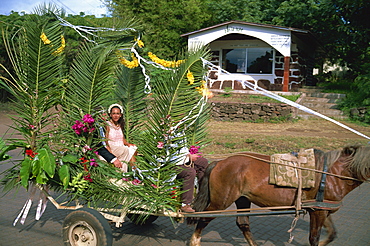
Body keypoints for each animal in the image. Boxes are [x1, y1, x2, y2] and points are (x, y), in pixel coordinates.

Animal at [189, 145, 368, 246]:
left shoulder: (322, 209)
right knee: (203, 217)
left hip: (242, 199)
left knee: (243, 223)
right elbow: (314, 238)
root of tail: (219, 162)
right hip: (221, 202)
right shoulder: (318, 212)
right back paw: (194, 241)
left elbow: (331, 234)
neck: (332, 173)